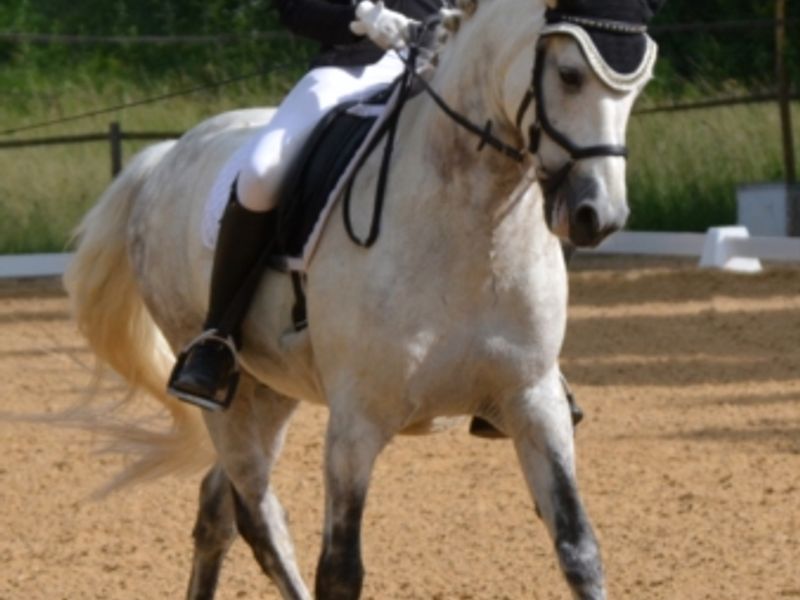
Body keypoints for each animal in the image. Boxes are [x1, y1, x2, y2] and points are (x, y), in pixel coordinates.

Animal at [63, 0, 662, 597]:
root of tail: (165, 156)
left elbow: (578, 547)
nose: (598, 215)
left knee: (219, 510)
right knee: (258, 515)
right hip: (227, 395)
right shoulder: (357, 423)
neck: (475, 218)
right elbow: (340, 570)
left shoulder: (533, 400)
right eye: (569, 74)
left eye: (639, 84)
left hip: (268, 389)